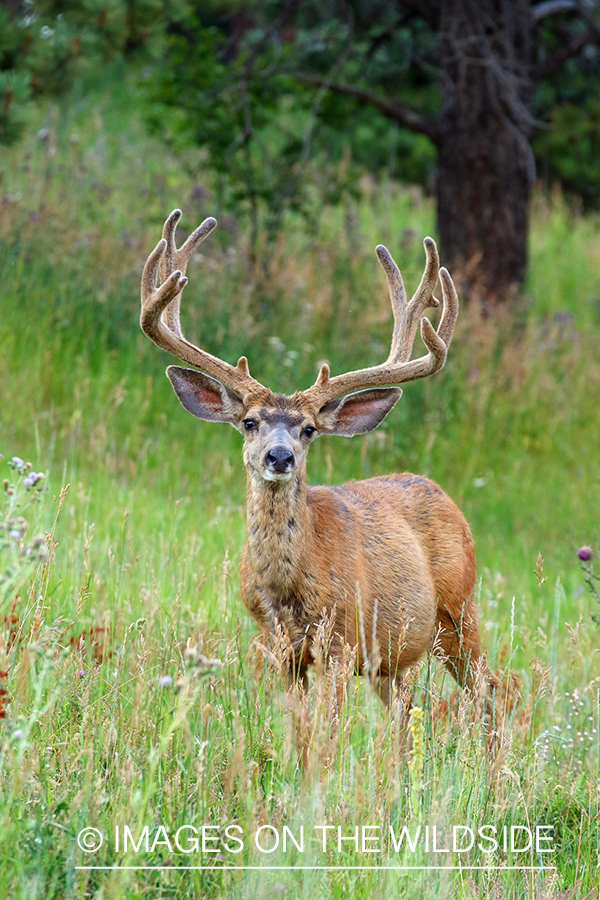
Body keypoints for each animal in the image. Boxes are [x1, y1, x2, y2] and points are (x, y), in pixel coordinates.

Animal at [141, 207, 492, 712]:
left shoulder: (342, 640)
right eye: (249, 422)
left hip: (459, 610)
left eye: (309, 429)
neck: (287, 591)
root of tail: (448, 499)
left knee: (495, 688)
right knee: (407, 710)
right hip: (395, 661)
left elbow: (329, 725)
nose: (279, 455)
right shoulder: (275, 644)